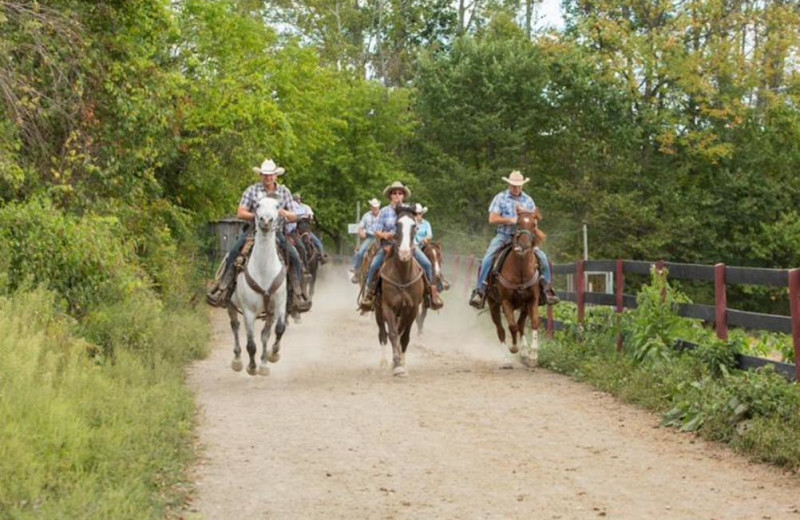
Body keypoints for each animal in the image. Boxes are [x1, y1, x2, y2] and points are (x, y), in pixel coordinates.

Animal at [227, 197, 290, 376]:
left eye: (278, 206)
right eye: (257, 205)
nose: (266, 220)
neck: (264, 271)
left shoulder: (279, 305)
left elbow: (279, 329)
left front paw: (272, 355)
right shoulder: (248, 311)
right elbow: (250, 344)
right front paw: (252, 367)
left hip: (269, 313)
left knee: (264, 334)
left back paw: (264, 362)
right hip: (231, 305)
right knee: (235, 327)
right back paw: (237, 361)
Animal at [374, 209, 424, 376]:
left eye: (414, 226)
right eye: (397, 224)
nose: (404, 252)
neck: (402, 276)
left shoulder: (412, 309)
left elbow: (404, 336)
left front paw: (402, 363)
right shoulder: (387, 307)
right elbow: (393, 333)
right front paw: (396, 365)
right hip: (378, 309)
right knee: (383, 334)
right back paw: (383, 362)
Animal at [484, 209, 548, 368]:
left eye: (534, 224)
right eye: (518, 223)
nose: (524, 245)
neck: (520, 271)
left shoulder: (532, 300)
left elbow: (534, 323)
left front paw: (533, 356)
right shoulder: (506, 302)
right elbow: (511, 327)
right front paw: (513, 347)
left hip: (523, 306)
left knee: (521, 325)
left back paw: (524, 353)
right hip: (493, 304)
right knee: (501, 329)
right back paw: (506, 359)